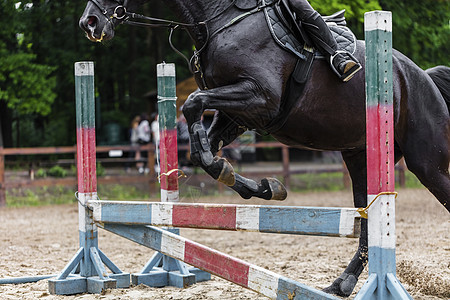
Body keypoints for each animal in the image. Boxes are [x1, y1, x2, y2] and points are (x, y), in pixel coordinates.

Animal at [79, 0, 448, 296]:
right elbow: (201, 149)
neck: (220, 19)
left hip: (426, 162)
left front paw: (253, 183)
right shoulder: (238, 113)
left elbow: (193, 103)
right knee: (367, 220)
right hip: (360, 159)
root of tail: (420, 75)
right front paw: (261, 186)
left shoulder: (260, 97)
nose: (89, 23)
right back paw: (341, 284)